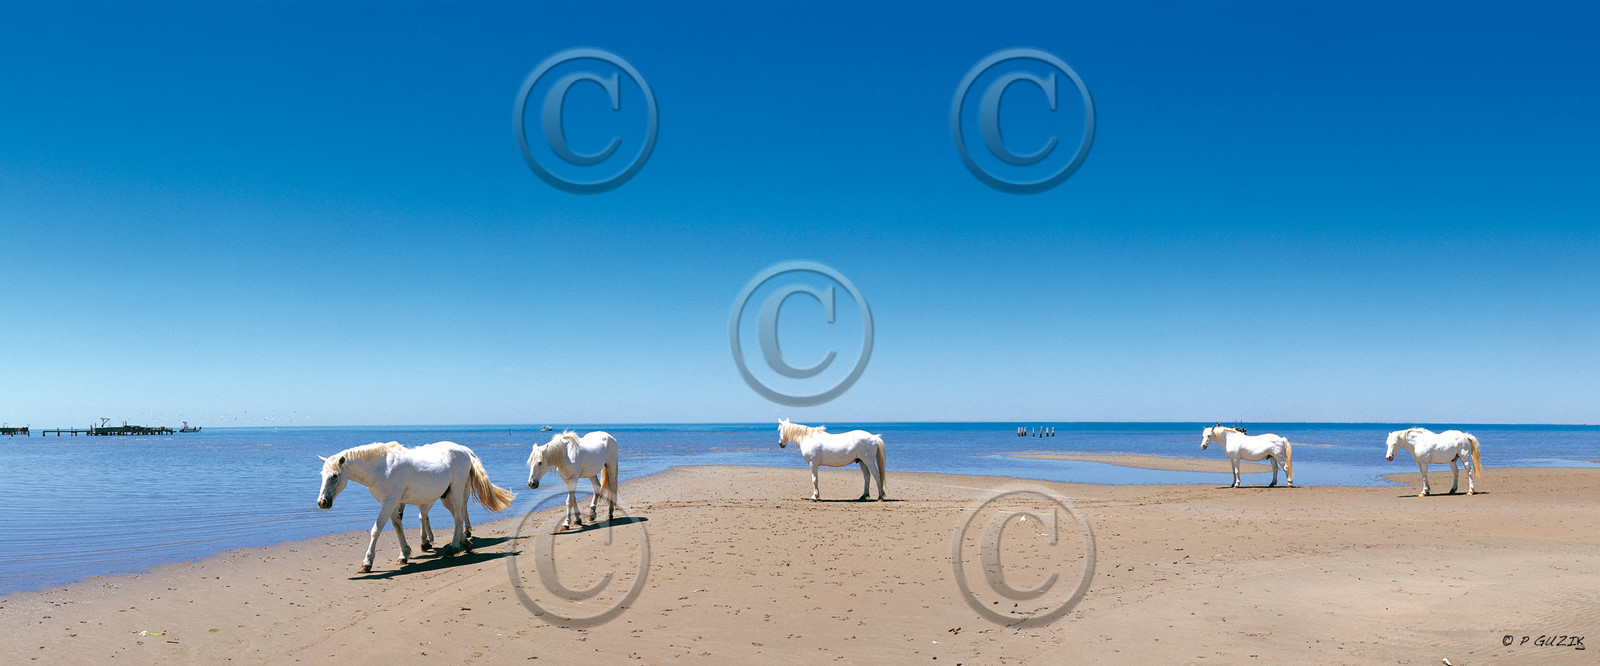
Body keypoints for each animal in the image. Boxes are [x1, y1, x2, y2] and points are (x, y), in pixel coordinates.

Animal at [316, 441, 516, 573]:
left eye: (335, 475)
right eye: (322, 475)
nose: (322, 502)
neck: (381, 468)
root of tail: (465, 451)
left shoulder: (390, 501)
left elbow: (376, 529)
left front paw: (367, 563)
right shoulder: (391, 502)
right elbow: (397, 527)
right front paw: (404, 554)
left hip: (457, 491)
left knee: (459, 517)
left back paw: (452, 549)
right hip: (446, 496)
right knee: (456, 518)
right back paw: (464, 544)